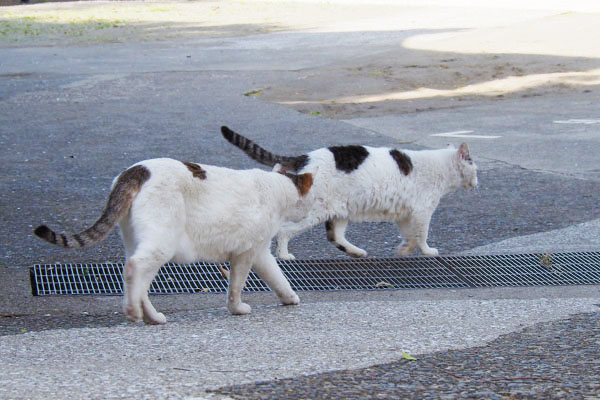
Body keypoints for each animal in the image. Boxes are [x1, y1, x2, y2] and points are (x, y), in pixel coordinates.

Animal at [220, 126, 478, 260]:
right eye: (475, 167)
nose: (477, 182)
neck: (442, 167)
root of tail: (306, 157)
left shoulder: (405, 215)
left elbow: (410, 236)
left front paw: (405, 249)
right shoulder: (423, 212)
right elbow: (422, 235)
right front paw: (427, 251)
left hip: (340, 210)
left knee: (335, 237)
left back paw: (357, 252)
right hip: (317, 211)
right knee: (284, 230)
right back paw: (284, 255)